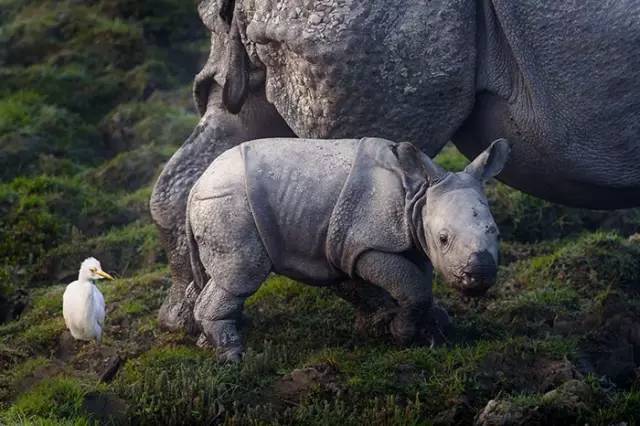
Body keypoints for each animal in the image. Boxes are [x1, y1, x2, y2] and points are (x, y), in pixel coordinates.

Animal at [186, 136, 510, 360]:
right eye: (443, 238)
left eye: (496, 233)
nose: (479, 275)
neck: (417, 195)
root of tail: (196, 186)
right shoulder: (364, 245)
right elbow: (412, 286)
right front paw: (401, 334)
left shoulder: (412, 241)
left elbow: (419, 283)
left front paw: (434, 332)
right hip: (228, 202)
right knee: (241, 276)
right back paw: (233, 356)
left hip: (220, 201)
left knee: (222, 277)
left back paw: (207, 345)